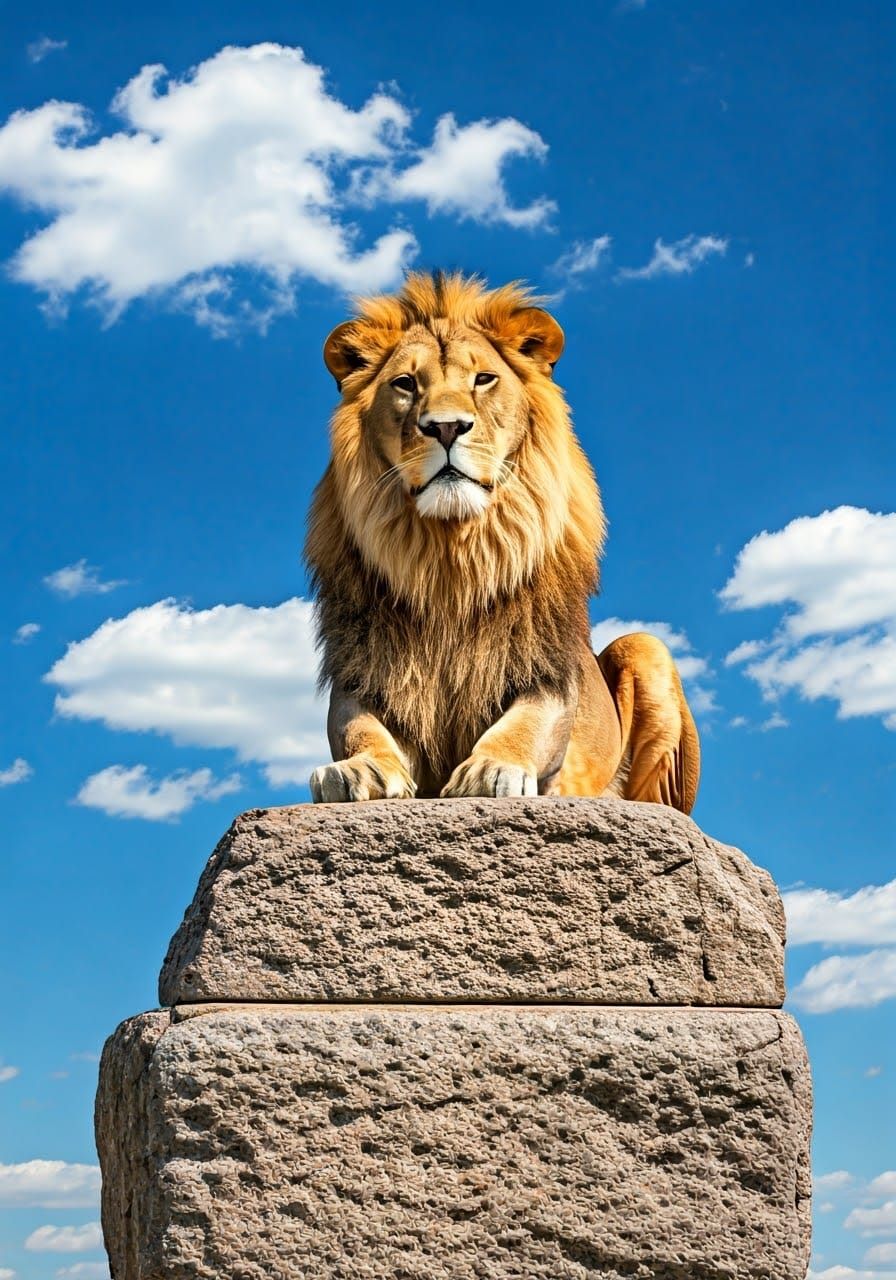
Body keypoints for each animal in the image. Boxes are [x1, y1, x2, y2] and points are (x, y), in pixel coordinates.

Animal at [305, 271, 700, 812]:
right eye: (405, 384)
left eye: (483, 379)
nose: (446, 426)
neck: (450, 564)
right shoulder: (361, 673)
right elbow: (358, 727)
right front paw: (360, 768)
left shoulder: (546, 674)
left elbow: (526, 725)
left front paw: (493, 767)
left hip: (646, 648)